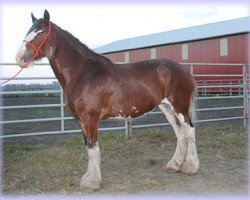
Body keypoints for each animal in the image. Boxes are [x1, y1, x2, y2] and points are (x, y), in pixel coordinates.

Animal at [15, 10, 199, 191]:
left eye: (40, 32)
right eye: (28, 30)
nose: (20, 58)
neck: (83, 73)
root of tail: (184, 71)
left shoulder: (90, 119)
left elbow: (93, 149)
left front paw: (93, 183)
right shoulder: (81, 121)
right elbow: (88, 147)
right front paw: (88, 178)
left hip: (180, 107)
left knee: (189, 131)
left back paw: (190, 167)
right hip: (166, 107)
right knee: (180, 133)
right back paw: (174, 165)